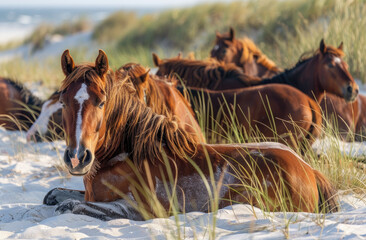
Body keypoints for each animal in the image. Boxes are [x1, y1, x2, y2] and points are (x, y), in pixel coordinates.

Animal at [42, 49, 338, 220]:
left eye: (102, 102)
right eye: (63, 102)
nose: (77, 157)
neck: (126, 155)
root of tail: (310, 171)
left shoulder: (140, 208)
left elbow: (71, 206)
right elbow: (54, 195)